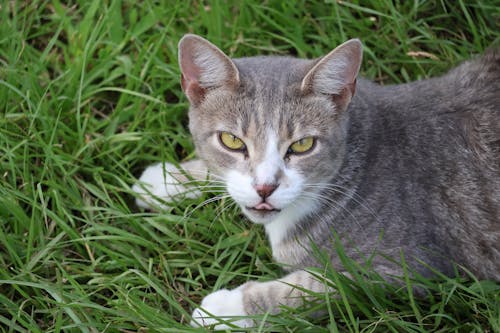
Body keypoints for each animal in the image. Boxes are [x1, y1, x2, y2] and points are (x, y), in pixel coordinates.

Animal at [133, 34, 500, 326]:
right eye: (232, 141)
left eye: (303, 145)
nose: (264, 187)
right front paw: (167, 180)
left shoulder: (412, 267)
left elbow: (316, 288)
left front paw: (228, 309)